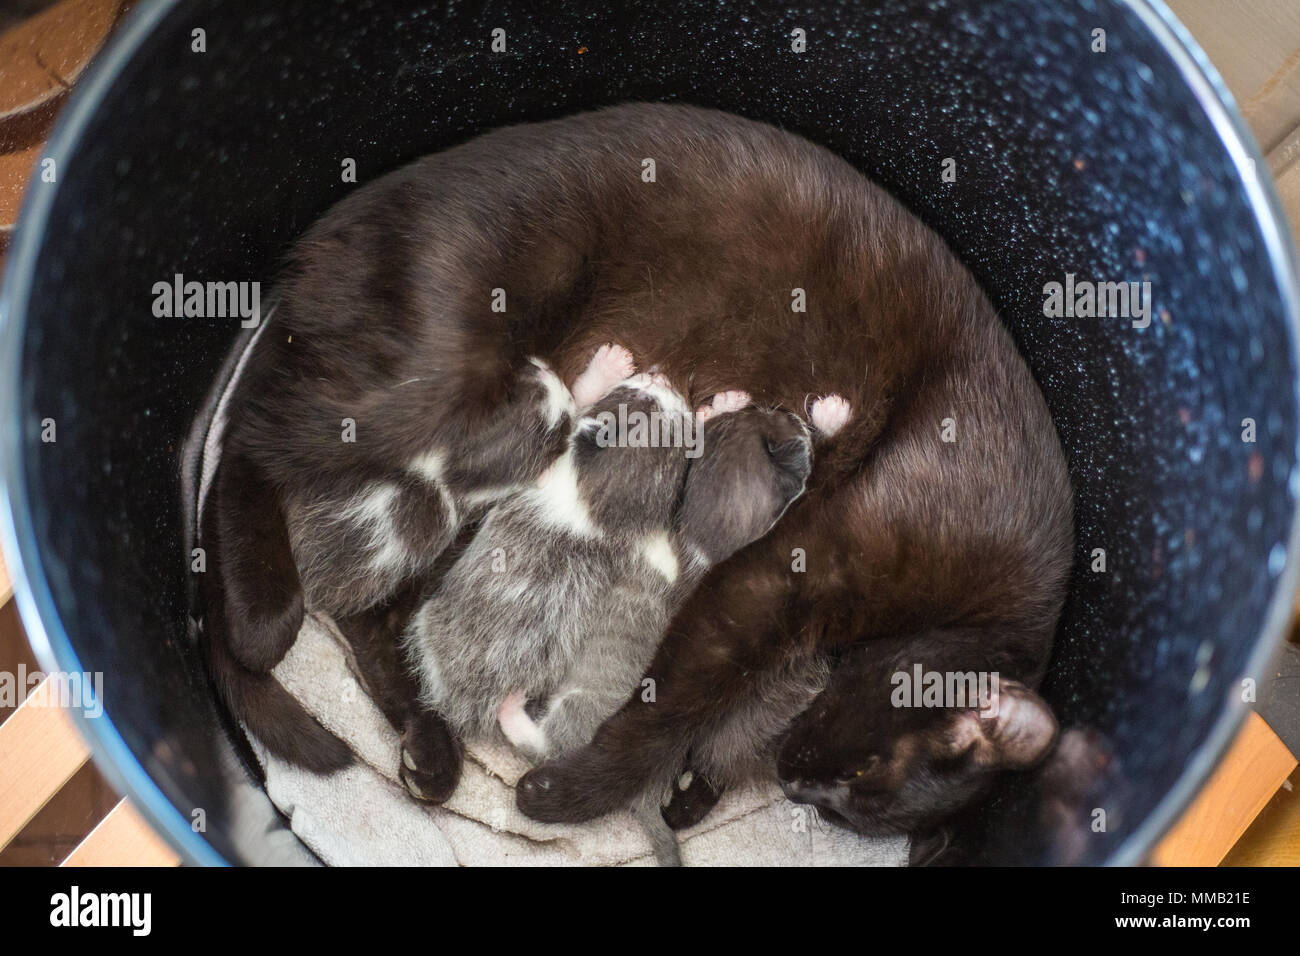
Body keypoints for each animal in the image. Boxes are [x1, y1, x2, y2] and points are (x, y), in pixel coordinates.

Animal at [202, 98, 1071, 842]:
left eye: (846, 808)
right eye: (858, 776)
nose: (795, 782)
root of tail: (329, 237)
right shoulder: (777, 575)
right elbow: (666, 708)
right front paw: (569, 793)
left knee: (374, 609)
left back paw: (431, 752)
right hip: (431, 371)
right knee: (253, 440)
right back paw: (260, 618)